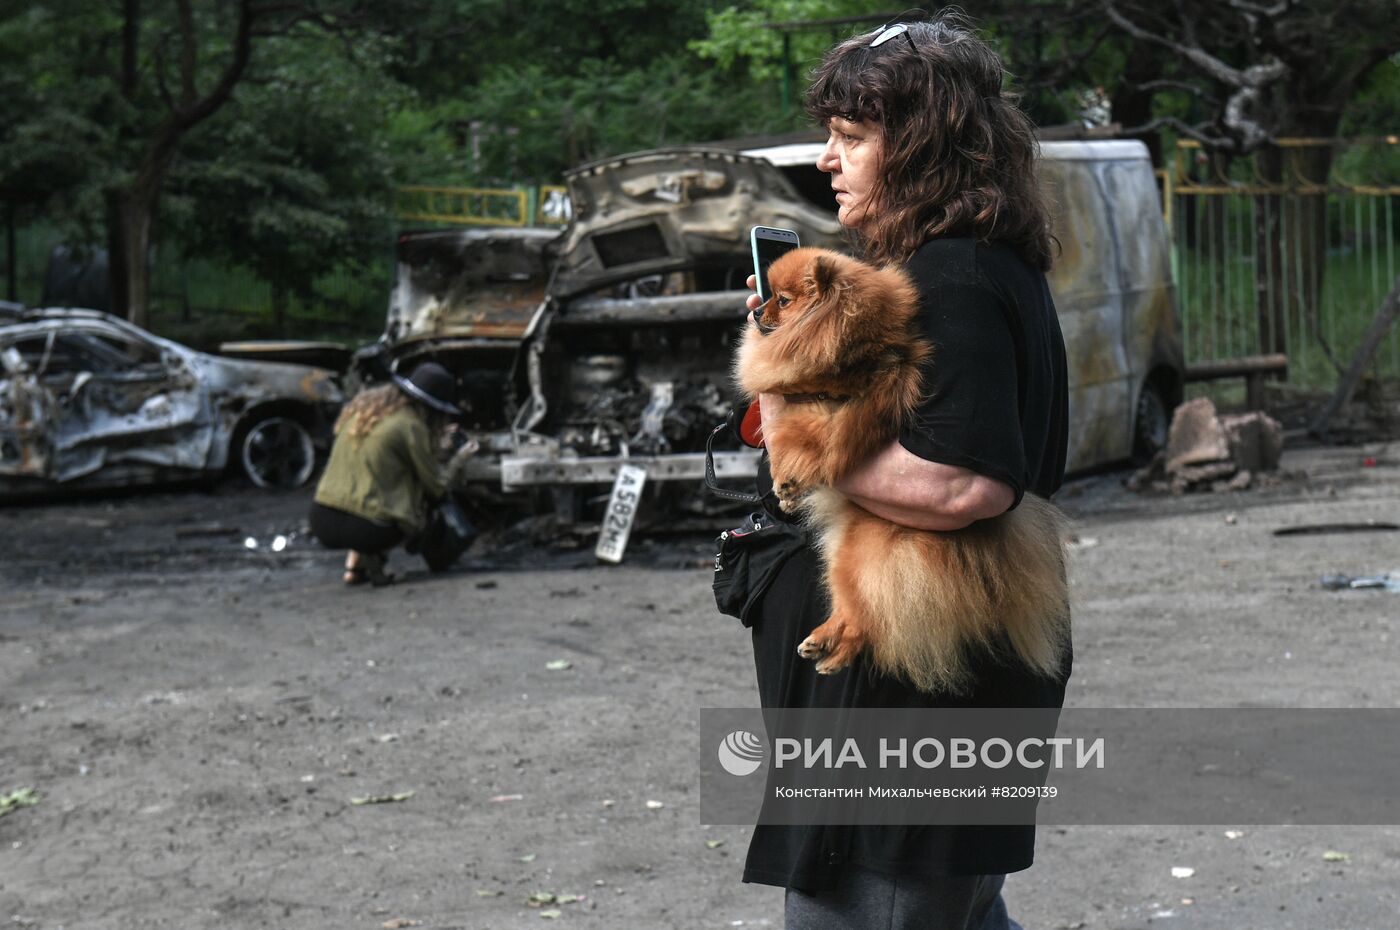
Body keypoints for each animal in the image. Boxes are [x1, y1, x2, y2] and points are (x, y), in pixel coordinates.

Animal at [739, 246, 1064, 697]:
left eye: (783, 301)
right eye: (769, 296)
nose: (756, 311)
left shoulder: (822, 405)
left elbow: (803, 440)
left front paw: (787, 479)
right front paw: (788, 492)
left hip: (864, 557)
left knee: (869, 619)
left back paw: (833, 653)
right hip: (842, 554)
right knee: (858, 609)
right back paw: (822, 643)